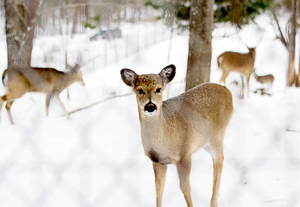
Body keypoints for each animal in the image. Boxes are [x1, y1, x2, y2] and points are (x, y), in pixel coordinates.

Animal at [120, 64, 233, 207]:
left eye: (159, 89)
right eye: (139, 90)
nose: (150, 106)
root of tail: (227, 91)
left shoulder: (184, 155)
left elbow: (185, 189)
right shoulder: (157, 160)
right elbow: (159, 189)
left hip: (217, 136)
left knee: (219, 160)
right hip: (205, 142)